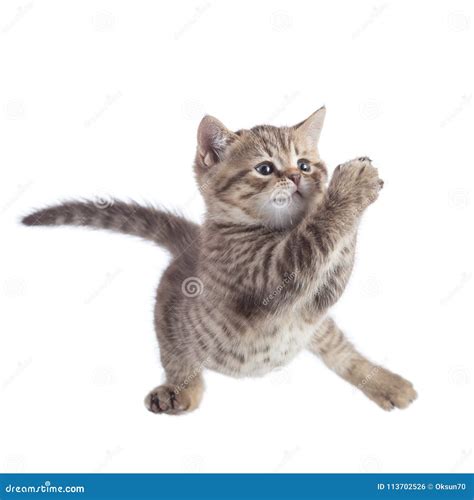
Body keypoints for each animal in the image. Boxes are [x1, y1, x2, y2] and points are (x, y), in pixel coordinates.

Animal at [22, 108, 416, 414]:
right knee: (177, 358)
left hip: (318, 329)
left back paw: (386, 382)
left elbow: (336, 256)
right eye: (265, 169)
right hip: (172, 323)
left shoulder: (316, 302)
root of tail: (187, 249)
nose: (296, 176)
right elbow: (319, 233)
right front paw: (350, 184)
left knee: (341, 351)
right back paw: (179, 392)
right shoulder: (270, 277)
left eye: (304, 164)